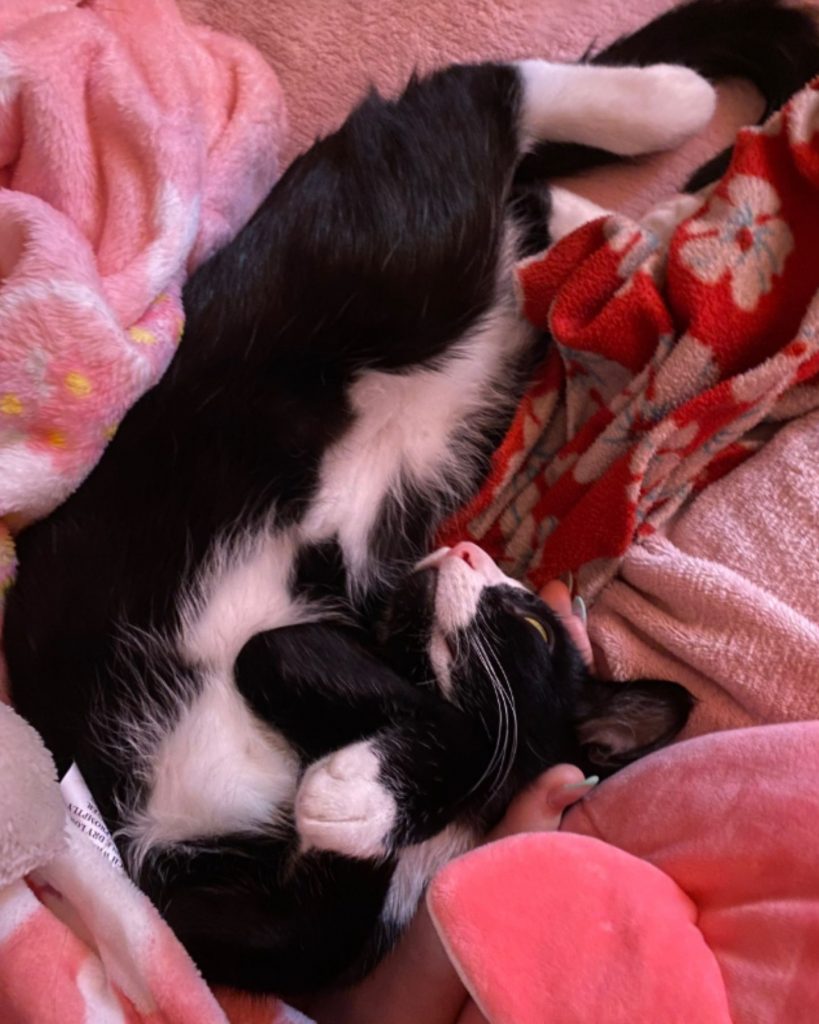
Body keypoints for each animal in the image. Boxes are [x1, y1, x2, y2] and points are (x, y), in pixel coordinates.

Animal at [6, 0, 818, 999]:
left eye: (531, 620)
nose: (465, 553)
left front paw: (362, 796)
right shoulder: (192, 844)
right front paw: (362, 796)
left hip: (477, 353)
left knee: (512, 197)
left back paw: (619, 235)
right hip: (381, 257)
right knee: (470, 107)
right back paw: (665, 113)